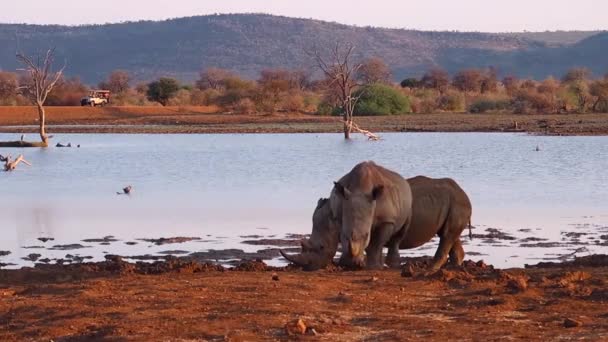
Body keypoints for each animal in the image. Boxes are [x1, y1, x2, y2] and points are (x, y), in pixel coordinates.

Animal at [282, 175, 476, 272]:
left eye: (321, 247)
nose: (308, 268)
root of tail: (463, 191)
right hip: (452, 201)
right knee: (448, 235)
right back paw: (453, 267)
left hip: (458, 202)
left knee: (448, 235)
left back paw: (430, 270)